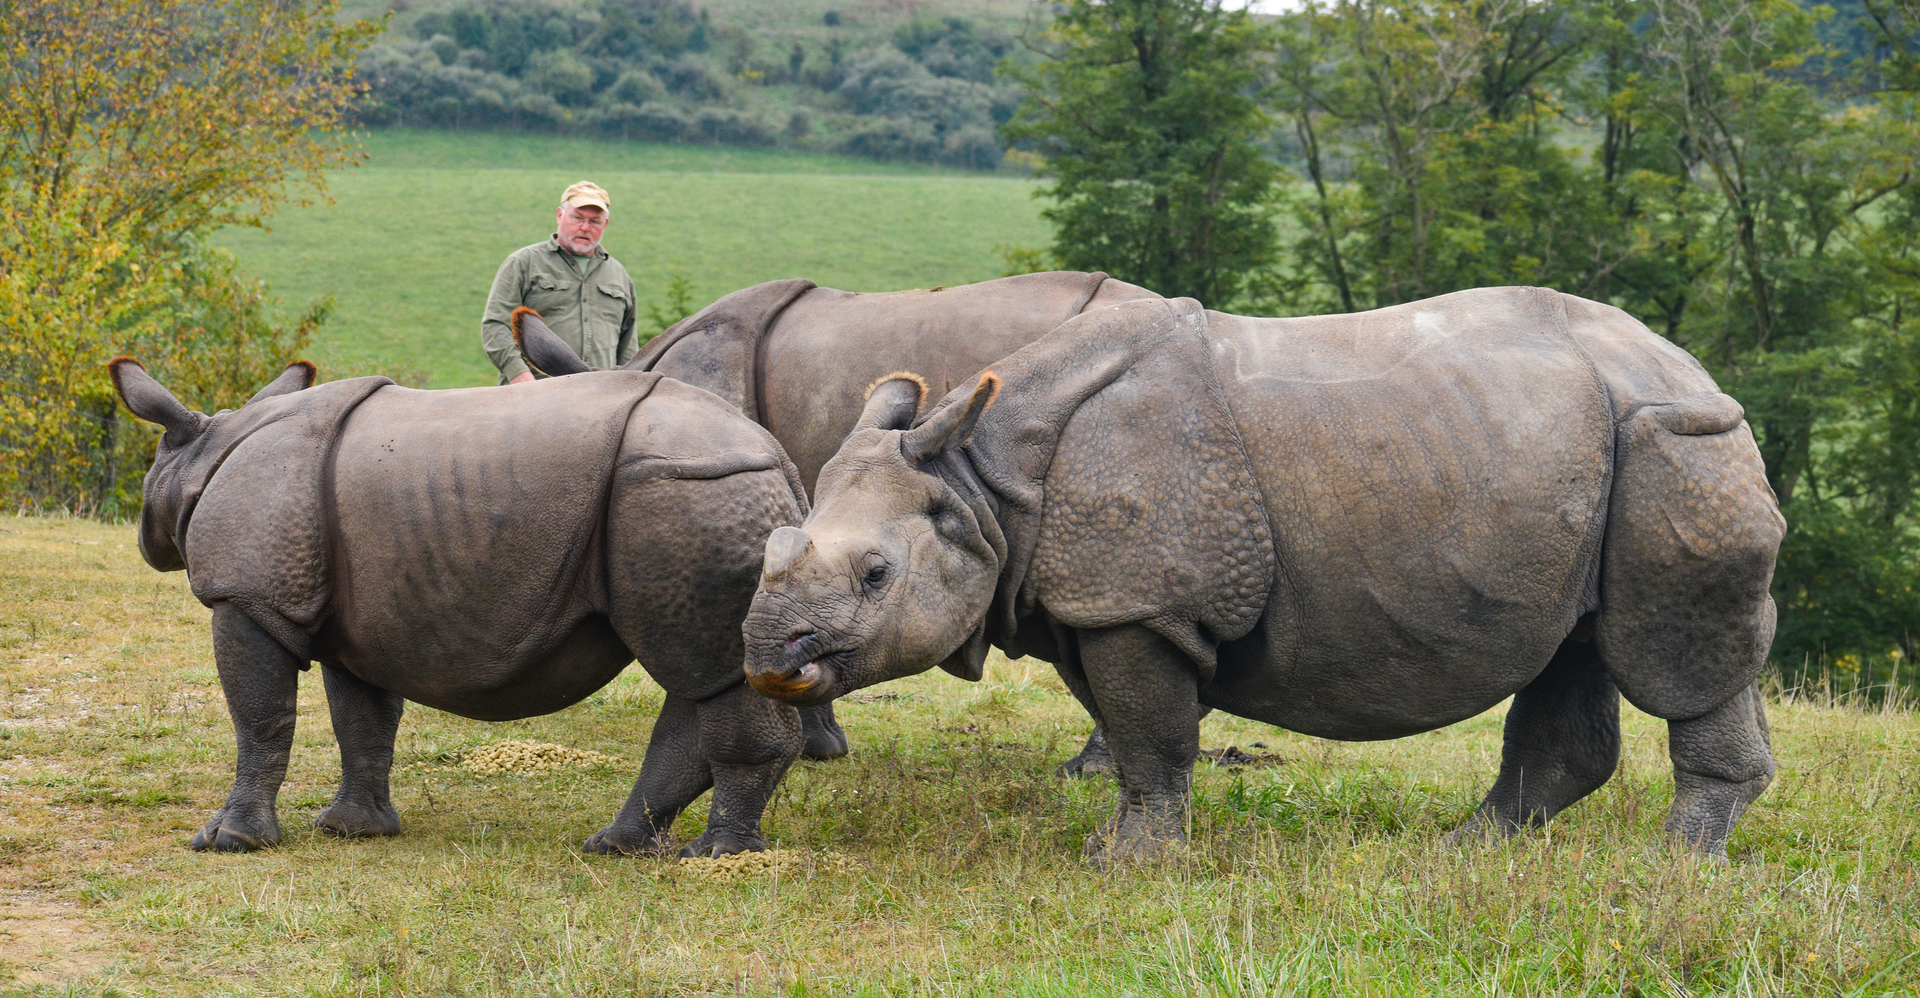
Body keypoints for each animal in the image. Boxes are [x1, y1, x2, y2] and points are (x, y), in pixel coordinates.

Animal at [110, 357, 808, 857]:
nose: (145, 537)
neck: (208, 447)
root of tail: (777, 456)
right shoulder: (357, 618)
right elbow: (362, 718)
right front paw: (352, 830)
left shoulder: (246, 595)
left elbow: (260, 718)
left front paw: (227, 840)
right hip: (702, 491)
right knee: (700, 679)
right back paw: (618, 846)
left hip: (687, 489)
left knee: (703, 671)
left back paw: (714, 856)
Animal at [741, 290, 1785, 862]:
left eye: (876, 575)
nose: (766, 658)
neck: (983, 484)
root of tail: (1699, 369)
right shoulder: (1102, 603)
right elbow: (1133, 732)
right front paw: (1122, 846)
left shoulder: (1138, 605)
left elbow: (1151, 735)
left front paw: (1128, 866)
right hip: (1591, 453)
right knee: (1575, 646)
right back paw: (1466, 853)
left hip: (1675, 442)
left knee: (1672, 658)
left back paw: (1672, 869)